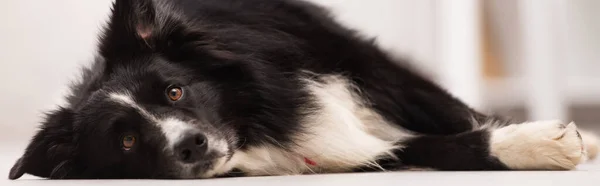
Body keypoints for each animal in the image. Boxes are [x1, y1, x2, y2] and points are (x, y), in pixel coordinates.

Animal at [7, 0, 596, 180]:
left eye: (174, 92)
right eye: (127, 141)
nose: (191, 145)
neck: (257, 123)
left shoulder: (361, 71)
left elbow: (456, 115)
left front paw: (544, 140)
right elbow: (433, 147)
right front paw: (535, 145)